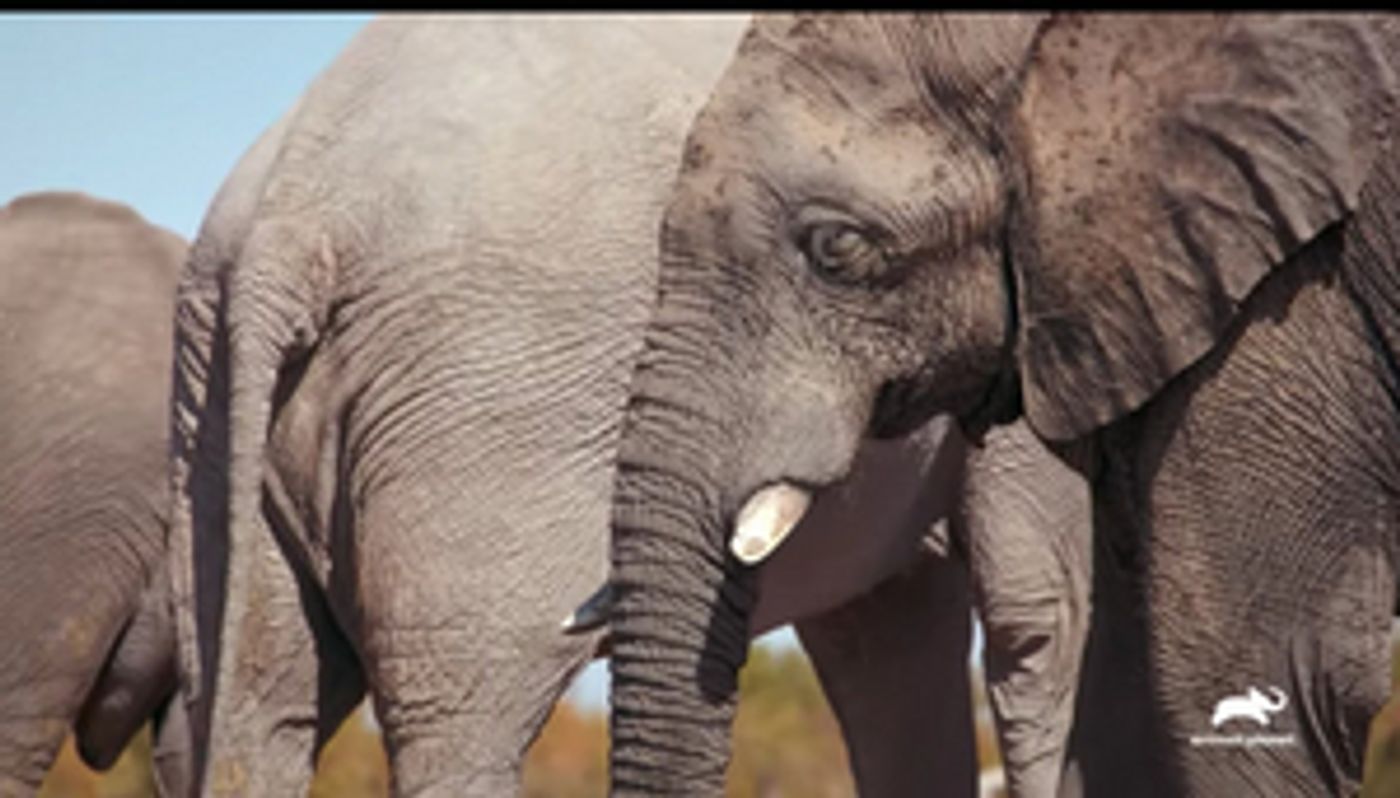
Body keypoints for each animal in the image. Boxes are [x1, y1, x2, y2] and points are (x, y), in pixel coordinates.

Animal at [167, 14, 1092, 797]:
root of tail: (297, 210)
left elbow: (893, 638)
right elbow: (1038, 620)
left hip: (213, 413)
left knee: (255, 704)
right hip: (479, 402)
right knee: (460, 711)